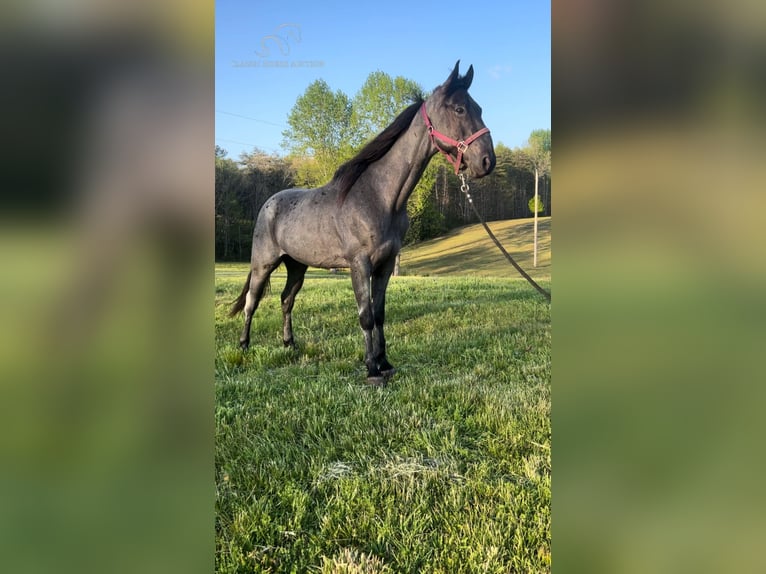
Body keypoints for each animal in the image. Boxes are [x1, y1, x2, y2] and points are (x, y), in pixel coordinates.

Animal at [230, 60, 498, 388]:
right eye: (459, 109)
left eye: (479, 107)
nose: (487, 161)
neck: (379, 197)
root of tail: (269, 204)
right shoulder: (359, 264)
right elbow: (365, 315)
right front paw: (371, 369)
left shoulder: (385, 264)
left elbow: (380, 313)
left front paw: (385, 363)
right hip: (263, 263)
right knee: (252, 301)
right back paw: (244, 345)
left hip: (297, 265)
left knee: (286, 300)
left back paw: (289, 344)